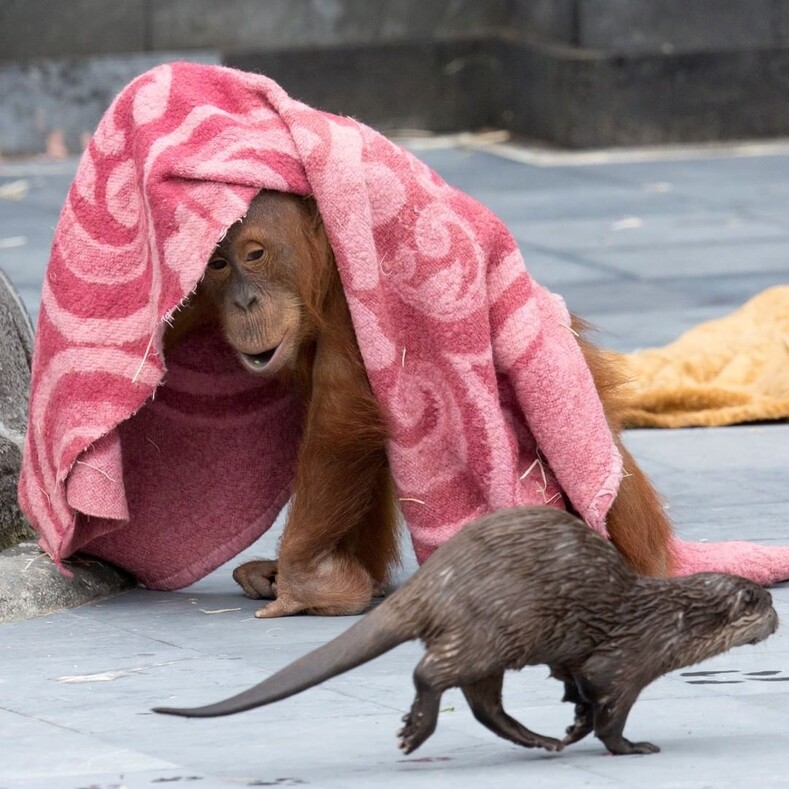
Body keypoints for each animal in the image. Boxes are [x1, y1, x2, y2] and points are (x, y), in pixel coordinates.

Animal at [152, 508, 776, 756]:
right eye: (766, 604)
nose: (777, 620)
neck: (667, 622)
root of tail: (433, 583)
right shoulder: (627, 662)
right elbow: (608, 709)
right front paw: (630, 746)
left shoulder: (579, 664)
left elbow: (576, 689)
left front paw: (572, 726)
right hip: (493, 629)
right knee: (433, 673)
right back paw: (416, 731)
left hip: (493, 644)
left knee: (482, 704)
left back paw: (538, 739)